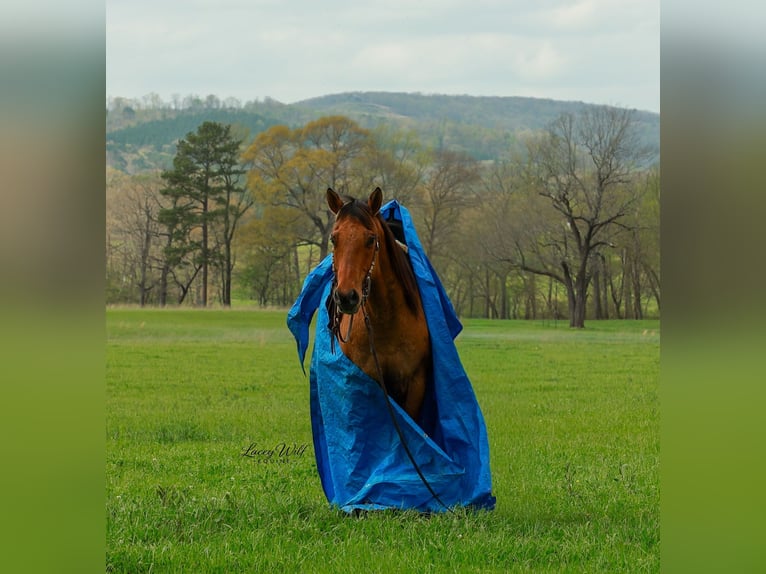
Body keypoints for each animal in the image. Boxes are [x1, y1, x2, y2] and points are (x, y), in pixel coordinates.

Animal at [326, 187, 432, 423]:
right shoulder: (368, 382)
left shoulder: (416, 383)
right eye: (334, 239)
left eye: (370, 239)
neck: (386, 321)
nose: (346, 297)